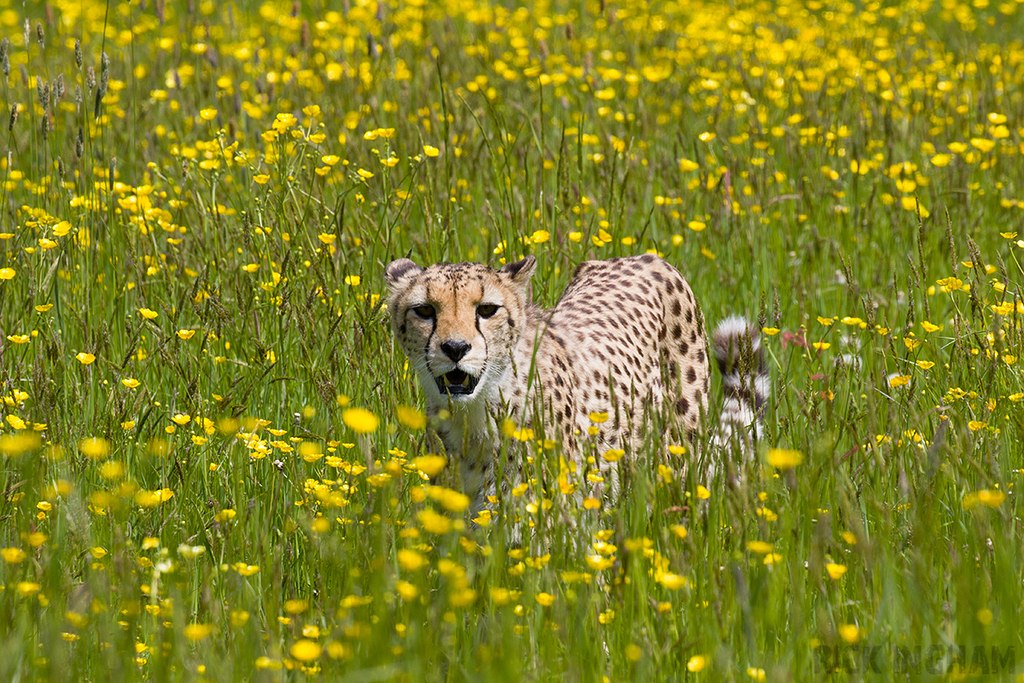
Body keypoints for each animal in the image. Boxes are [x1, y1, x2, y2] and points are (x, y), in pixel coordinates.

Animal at [385, 253, 770, 516]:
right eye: (424, 310)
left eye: (487, 309)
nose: (455, 348)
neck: (479, 413)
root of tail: (646, 257)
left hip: (678, 457)